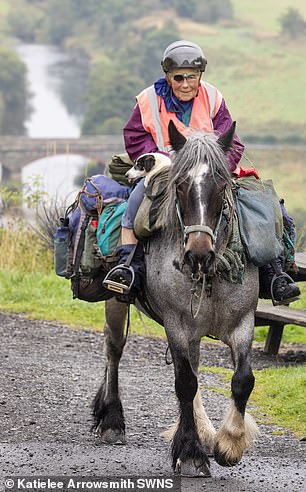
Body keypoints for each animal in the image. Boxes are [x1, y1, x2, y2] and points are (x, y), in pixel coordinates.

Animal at [92, 122, 260, 476]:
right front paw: (192, 454)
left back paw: (206, 433)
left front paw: (229, 444)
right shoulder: (177, 325)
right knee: (114, 349)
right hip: (116, 303)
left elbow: (242, 380)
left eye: (221, 185)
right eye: (180, 186)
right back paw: (112, 421)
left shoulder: (243, 323)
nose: (197, 252)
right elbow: (185, 384)